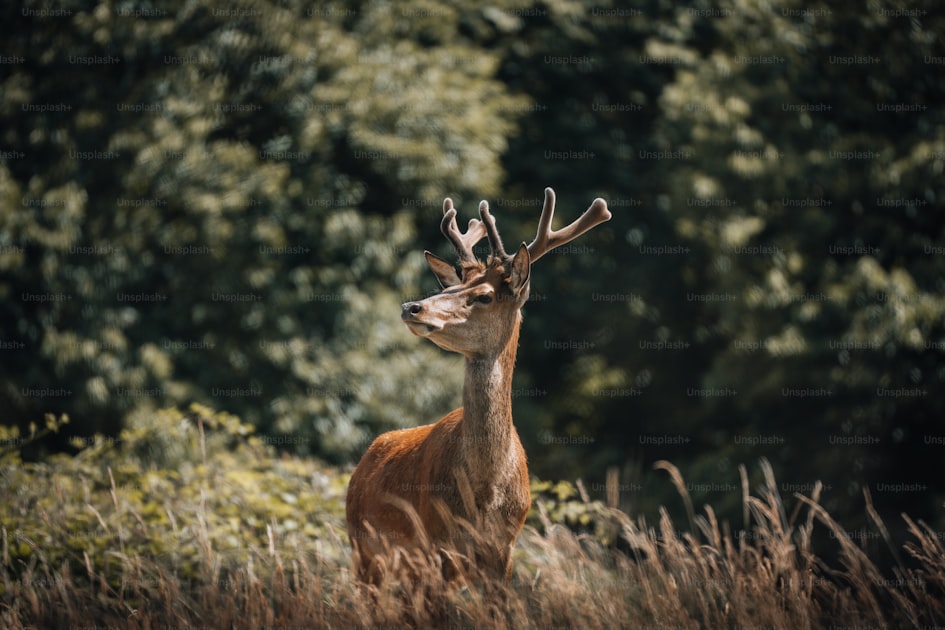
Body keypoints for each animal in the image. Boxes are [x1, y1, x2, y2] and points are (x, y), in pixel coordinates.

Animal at [345, 187, 611, 584]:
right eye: (452, 286)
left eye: (484, 295)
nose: (411, 307)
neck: (485, 495)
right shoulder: (435, 541)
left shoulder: (504, 549)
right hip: (365, 553)